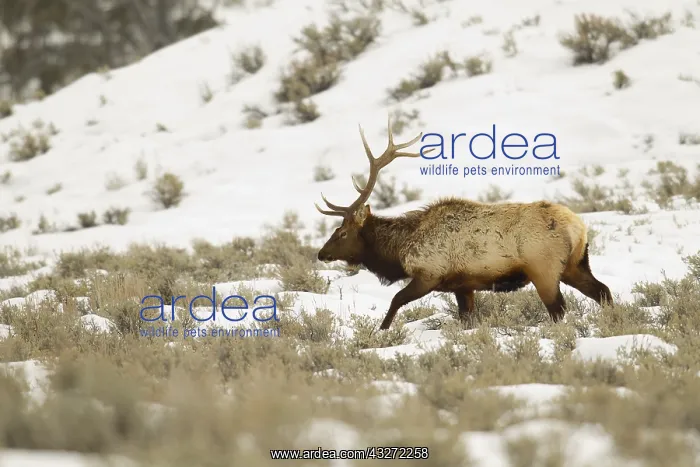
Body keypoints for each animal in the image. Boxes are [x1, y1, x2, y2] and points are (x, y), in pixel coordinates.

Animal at [314, 117, 613, 330]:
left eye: (342, 233)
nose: (321, 254)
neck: (399, 250)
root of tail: (578, 227)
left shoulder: (429, 274)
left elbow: (396, 300)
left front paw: (381, 332)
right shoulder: (463, 285)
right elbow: (467, 319)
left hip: (544, 269)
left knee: (559, 309)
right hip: (575, 264)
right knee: (603, 291)